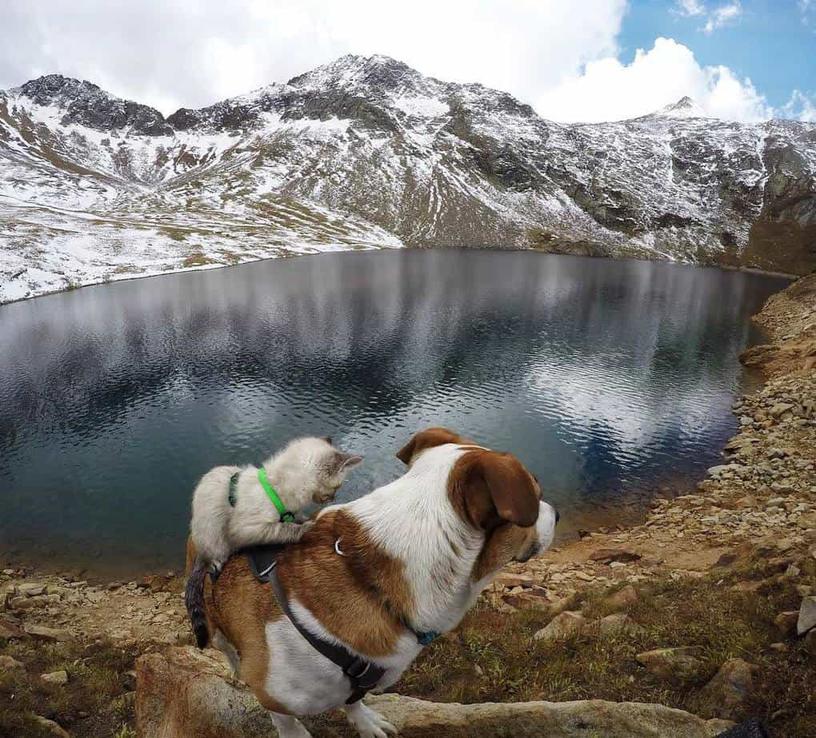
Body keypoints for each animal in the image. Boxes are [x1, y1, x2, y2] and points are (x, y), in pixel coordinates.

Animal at [190, 426, 560, 736]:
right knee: (226, 646)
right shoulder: (274, 694)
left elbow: (353, 699)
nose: (557, 514)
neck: (371, 584)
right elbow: (288, 724)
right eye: (536, 491)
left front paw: (364, 721)